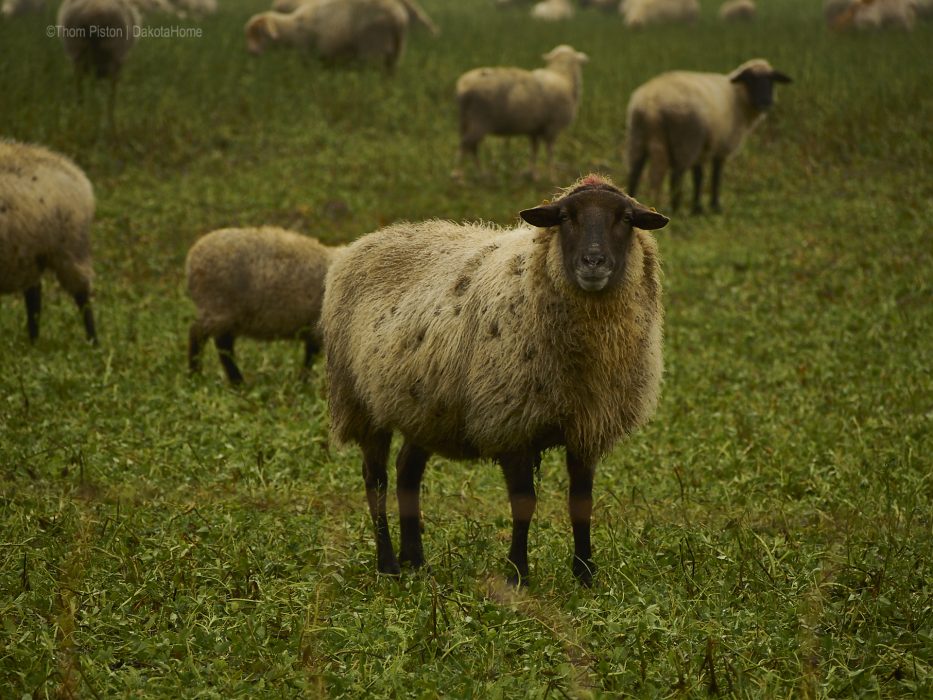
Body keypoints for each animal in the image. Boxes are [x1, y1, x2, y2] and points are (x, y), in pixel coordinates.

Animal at [184, 227, 340, 386]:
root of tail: (192, 258)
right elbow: (312, 357)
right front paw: (302, 383)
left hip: (226, 315)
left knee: (223, 345)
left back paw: (235, 381)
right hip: (217, 307)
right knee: (198, 335)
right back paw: (196, 375)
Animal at [320, 175, 668, 584]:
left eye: (626, 218)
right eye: (565, 216)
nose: (594, 263)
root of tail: (365, 241)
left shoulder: (586, 426)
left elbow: (581, 503)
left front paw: (585, 574)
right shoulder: (511, 422)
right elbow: (524, 503)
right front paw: (517, 573)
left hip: (424, 407)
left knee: (407, 472)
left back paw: (415, 559)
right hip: (360, 401)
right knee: (375, 480)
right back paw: (388, 564)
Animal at [454, 43, 588, 180]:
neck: (563, 76)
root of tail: (463, 88)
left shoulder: (535, 129)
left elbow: (534, 150)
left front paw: (534, 175)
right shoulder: (552, 128)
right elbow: (550, 152)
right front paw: (552, 177)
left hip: (466, 120)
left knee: (471, 147)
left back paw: (481, 174)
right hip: (480, 121)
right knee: (465, 145)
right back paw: (458, 175)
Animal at [624, 57, 792, 213]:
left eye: (771, 79)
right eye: (750, 79)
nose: (766, 102)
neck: (737, 97)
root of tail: (651, 105)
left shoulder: (702, 147)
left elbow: (698, 176)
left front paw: (697, 207)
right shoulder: (720, 145)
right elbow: (715, 176)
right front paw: (714, 206)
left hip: (637, 138)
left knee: (634, 174)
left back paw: (631, 200)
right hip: (684, 140)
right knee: (676, 176)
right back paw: (675, 208)